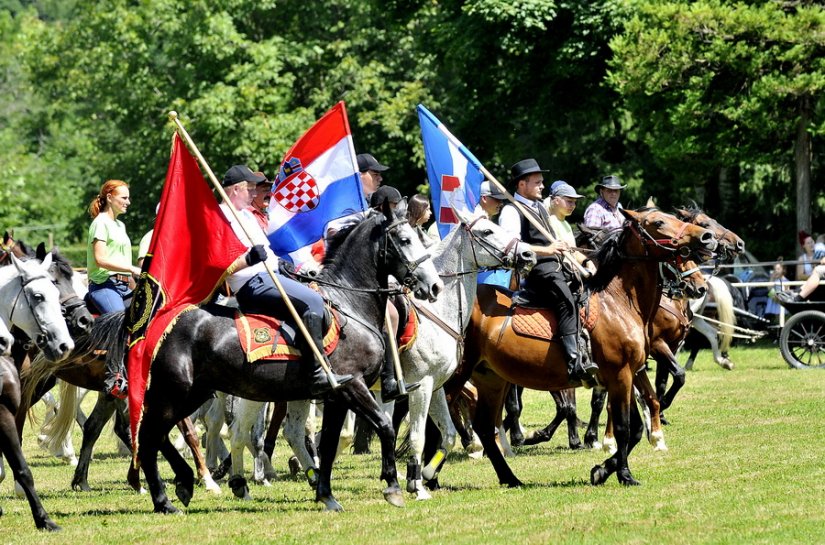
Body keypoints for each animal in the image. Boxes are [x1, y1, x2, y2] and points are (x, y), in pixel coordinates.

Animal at [137, 206, 444, 512]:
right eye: (405, 240)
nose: (435, 286)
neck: (350, 303)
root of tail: (161, 322)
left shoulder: (336, 398)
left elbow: (328, 446)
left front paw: (326, 495)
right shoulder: (351, 386)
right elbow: (385, 426)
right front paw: (392, 487)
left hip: (191, 394)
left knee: (157, 436)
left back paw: (184, 483)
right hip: (173, 394)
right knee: (149, 438)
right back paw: (165, 500)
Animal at [284, 210, 536, 500]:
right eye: (487, 232)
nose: (528, 254)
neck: (439, 311)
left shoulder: (436, 386)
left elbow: (447, 434)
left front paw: (424, 473)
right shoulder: (421, 386)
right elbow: (417, 436)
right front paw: (416, 483)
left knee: (293, 431)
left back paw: (311, 473)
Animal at [444, 207, 716, 484]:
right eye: (659, 222)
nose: (706, 237)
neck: (619, 302)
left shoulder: (629, 375)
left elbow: (637, 427)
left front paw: (602, 469)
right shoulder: (620, 375)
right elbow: (623, 427)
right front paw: (624, 474)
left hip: (491, 378)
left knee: (483, 425)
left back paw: (508, 476)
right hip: (457, 375)